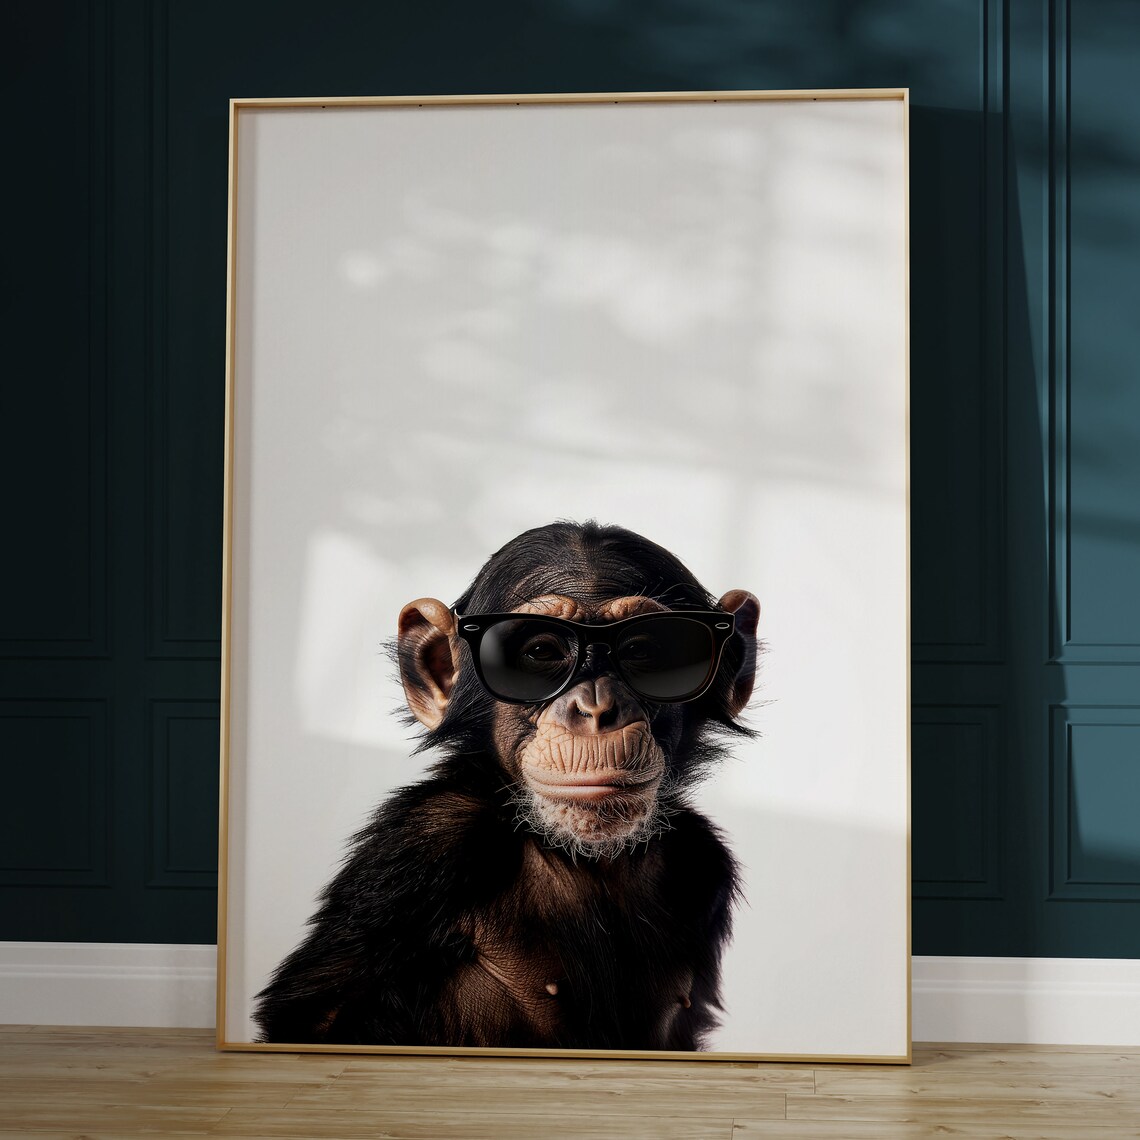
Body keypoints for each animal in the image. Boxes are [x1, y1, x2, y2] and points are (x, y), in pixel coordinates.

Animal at [253, 521, 760, 1051]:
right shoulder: (427, 842)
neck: (577, 854)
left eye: (642, 650)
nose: (597, 709)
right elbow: (319, 1021)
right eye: (541, 652)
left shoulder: (702, 858)